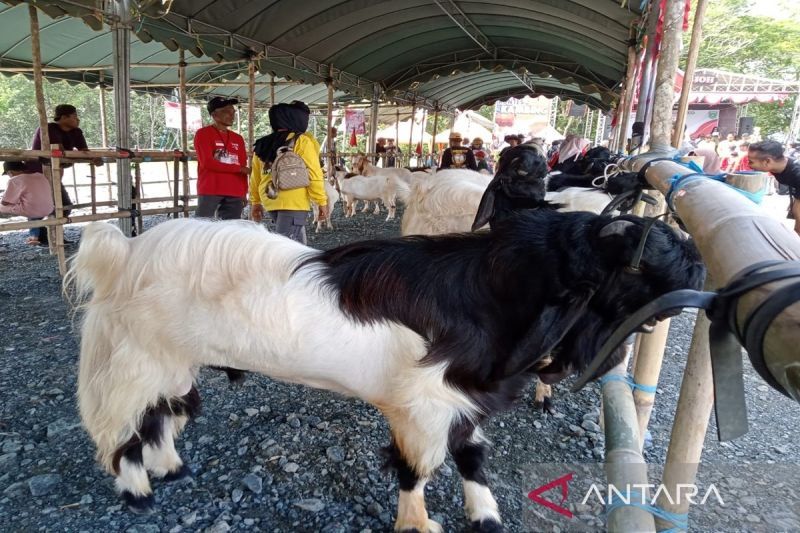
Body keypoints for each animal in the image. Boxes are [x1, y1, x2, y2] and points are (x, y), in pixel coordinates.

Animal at [69, 209, 704, 530]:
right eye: (647, 263)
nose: (702, 273)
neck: (492, 293)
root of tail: (123, 256)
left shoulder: (465, 400)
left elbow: (472, 456)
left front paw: (485, 514)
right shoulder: (420, 404)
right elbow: (415, 468)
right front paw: (419, 525)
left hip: (172, 364)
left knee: (161, 415)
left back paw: (170, 469)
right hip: (134, 360)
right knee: (120, 429)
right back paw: (137, 492)